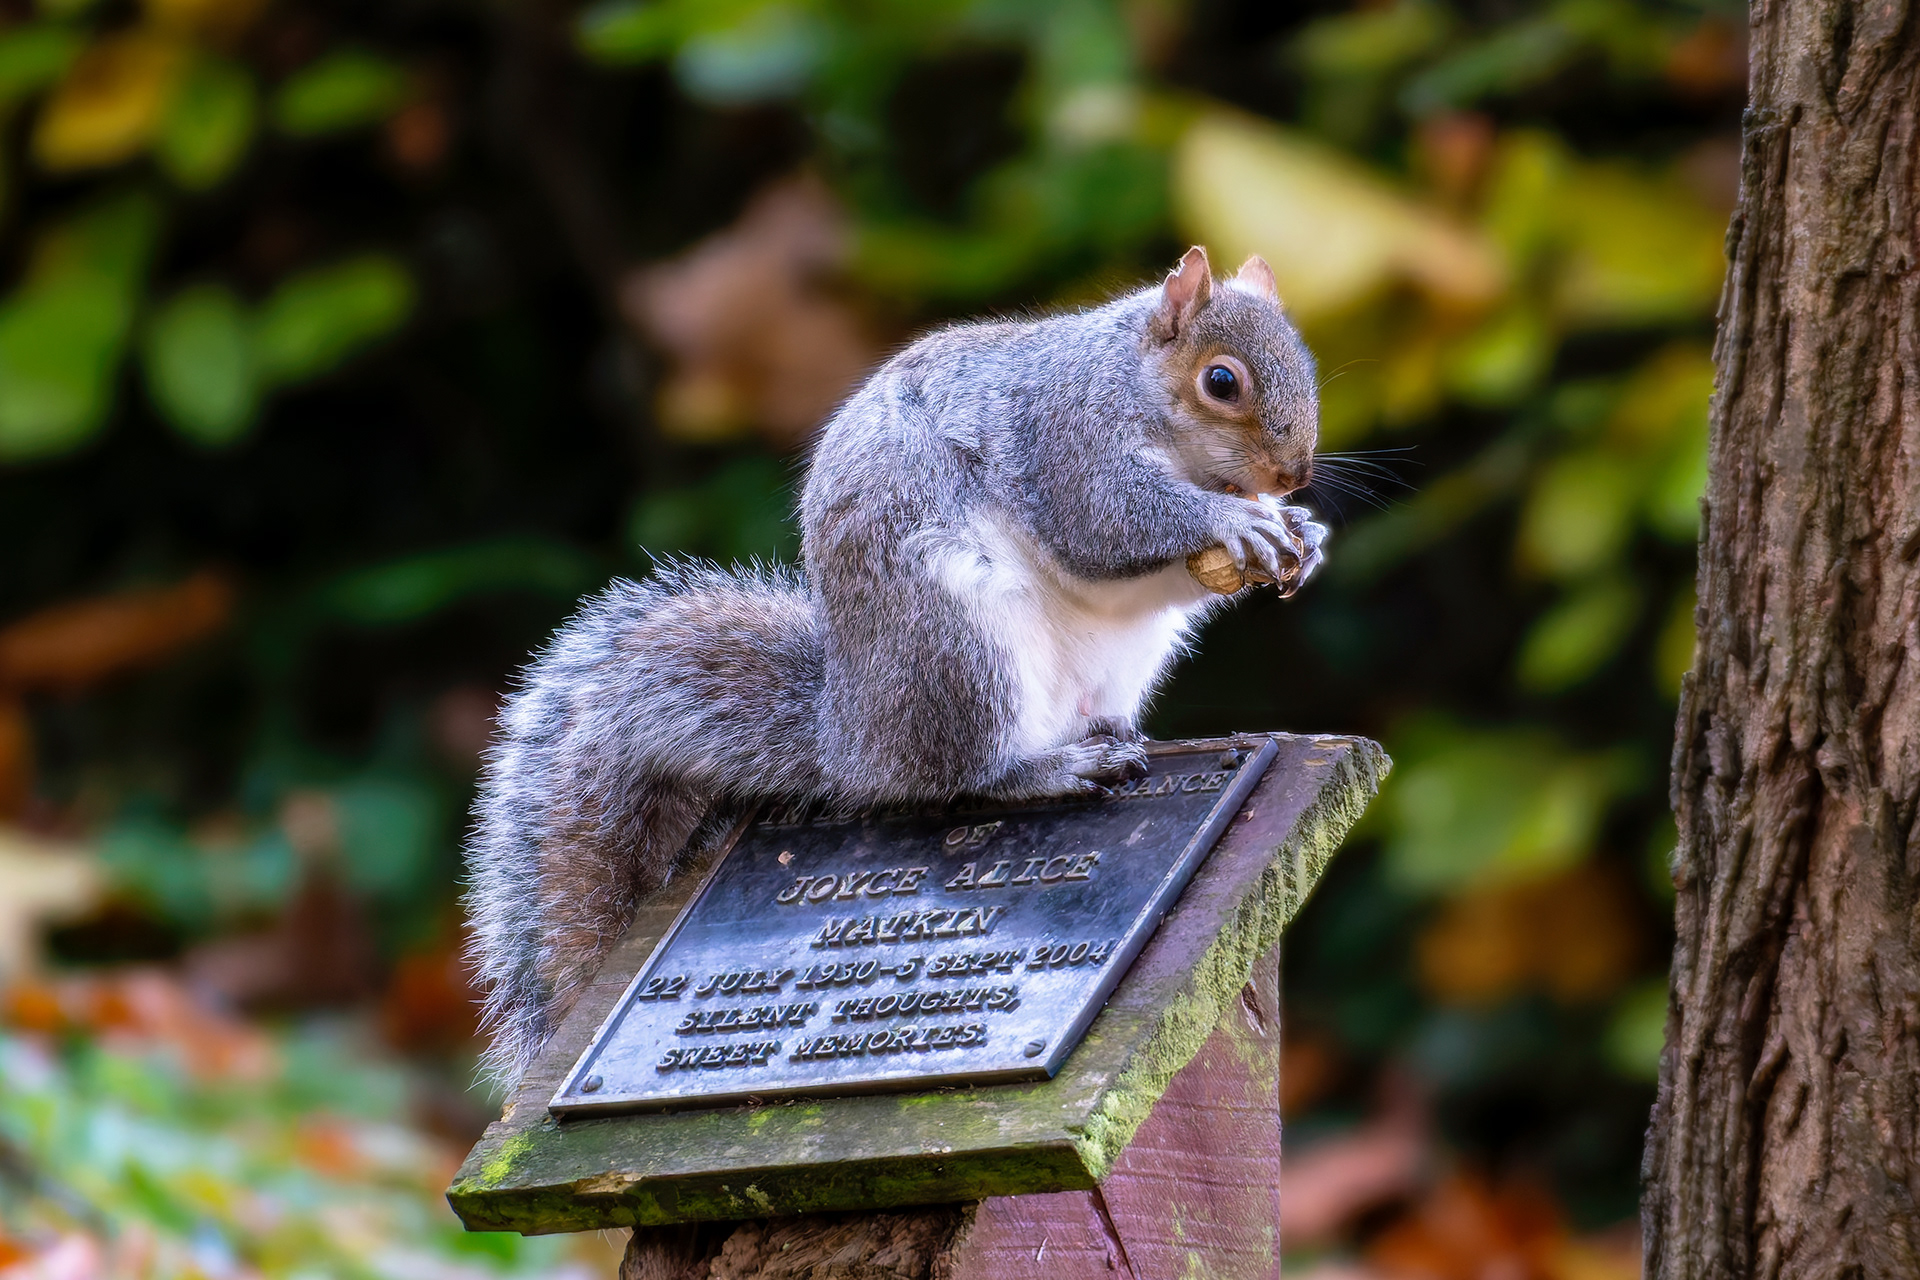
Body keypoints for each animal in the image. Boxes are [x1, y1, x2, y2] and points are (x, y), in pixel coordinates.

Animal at [464, 246, 1328, 1085]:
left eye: (1308, 363)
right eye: (1222, 382)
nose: (1293, 476)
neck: (1132, 378)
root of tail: (849, 737)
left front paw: (1302, 532)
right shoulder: (1066, 438)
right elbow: (1106, 522)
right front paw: (1231, 518)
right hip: (959, 645)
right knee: (957, 779)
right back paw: (1048, 769)